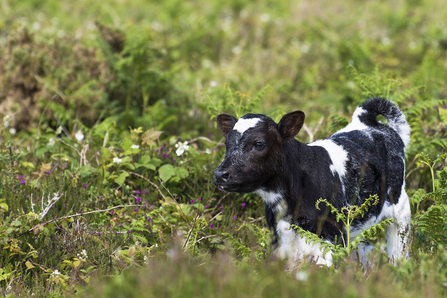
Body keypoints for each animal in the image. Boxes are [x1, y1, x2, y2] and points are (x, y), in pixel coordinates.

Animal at [215, 97, 412, 266]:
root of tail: (369, 124)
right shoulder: (280, 242)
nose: (220, 174)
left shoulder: (329, 239)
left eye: (259, 143)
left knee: (398, 254)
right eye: (227, 144)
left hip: (400, 212)